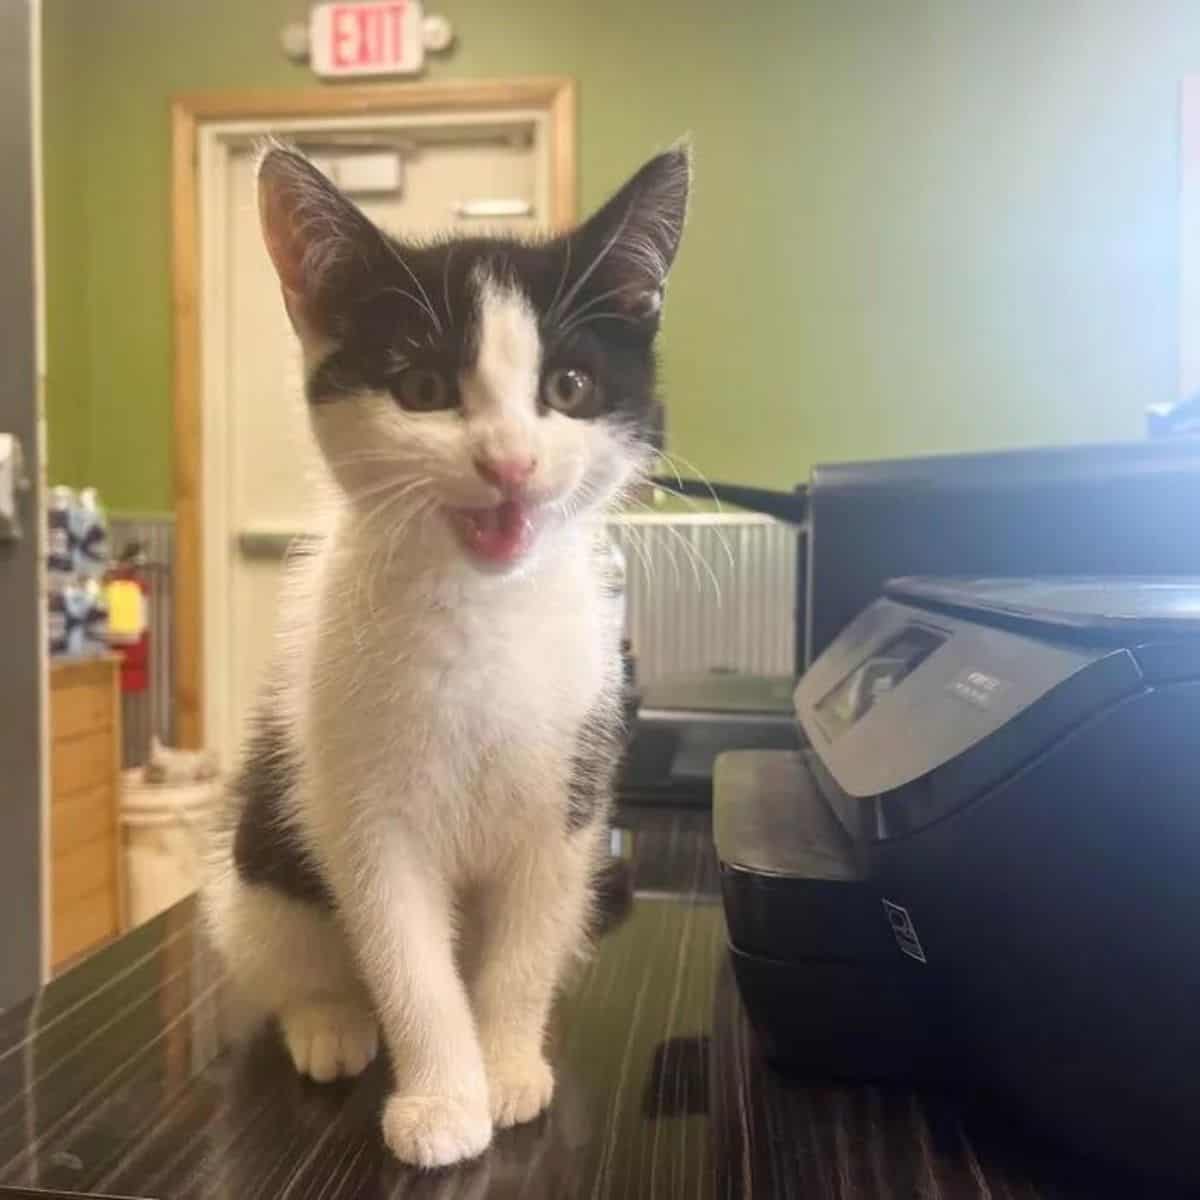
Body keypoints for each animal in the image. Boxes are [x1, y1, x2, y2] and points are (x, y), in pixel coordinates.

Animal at [205, 136, 691, 1166]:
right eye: (424, 389)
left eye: (569, 389)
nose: (508, 461)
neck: (483, 606)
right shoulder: (360, 805)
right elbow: (406, 957)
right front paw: (441, 1101)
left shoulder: (570, 792)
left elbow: (523, 946)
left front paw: (505, 1067)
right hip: (255, 872)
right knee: (291, 956)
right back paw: (331, 1023)